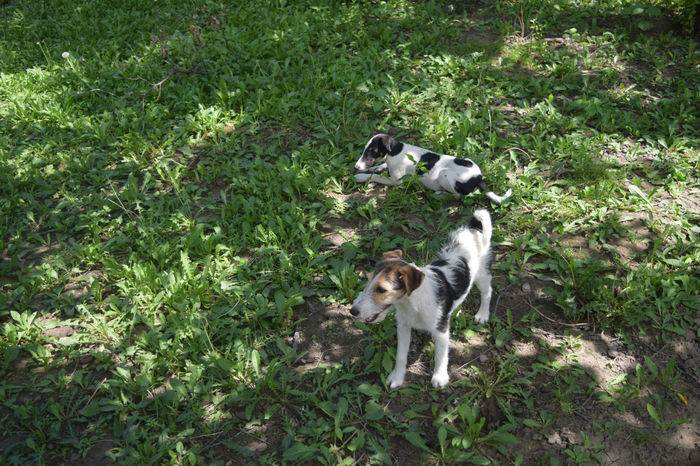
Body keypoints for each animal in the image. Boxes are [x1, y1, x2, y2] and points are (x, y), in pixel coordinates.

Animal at [348, 209, 492, 388]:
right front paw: (397, 377)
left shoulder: (441, 330)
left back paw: (483, 314)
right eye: (367, 281)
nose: (352, 311)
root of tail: (472, 229)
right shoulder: (403, 327)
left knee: (488, 292)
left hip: (481, 275)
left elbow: (440, 356)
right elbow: (401, 355)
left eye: (381, 289)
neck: (411, 303)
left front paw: (439, 377)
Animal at [356, 132, 508, 203]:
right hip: (468, 160)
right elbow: (379, 167)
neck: (395, 151)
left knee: (457, 196)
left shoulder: (396, 181)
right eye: (364, 150)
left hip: (444, 175)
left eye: (372, 151)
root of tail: (478, 178)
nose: (356, 167)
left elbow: (376, 176)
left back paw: (439, 194)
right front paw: (370, 169)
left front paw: (360, 176)